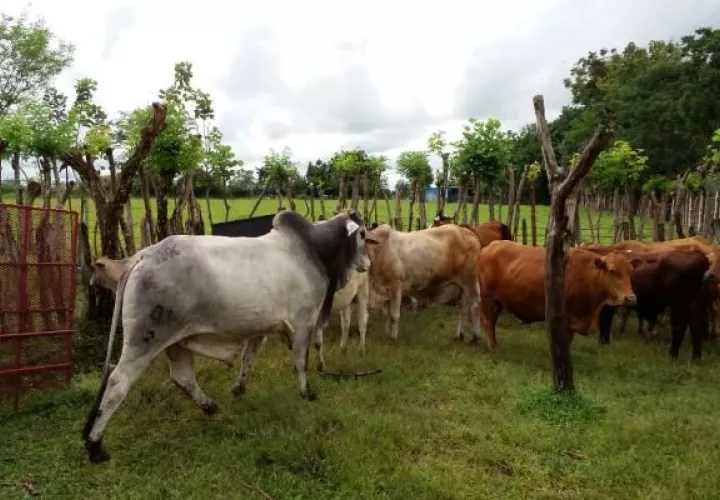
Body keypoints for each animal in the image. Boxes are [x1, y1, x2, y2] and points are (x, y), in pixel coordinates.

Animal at [84, 209, 372, 462]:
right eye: (362, 234)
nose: (368, 264)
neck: (312, 250)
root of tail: (144, 255)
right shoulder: (304, 322)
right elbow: (301, 362)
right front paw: (307, 393)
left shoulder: (260, 329)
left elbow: (248, 360)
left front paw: (238, 390)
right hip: (145, 339)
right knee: (117, 383)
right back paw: (95, 446)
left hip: (175, 343)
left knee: (183, 378)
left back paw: (210, 407)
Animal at [478, 240, 636, 350]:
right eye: (612, 270)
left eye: (630, 271)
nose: (630, 298)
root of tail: (489, 247)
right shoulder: (563, 320)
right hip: (488, 299)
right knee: (488, 322)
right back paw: (492, 347)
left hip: (497, 302)